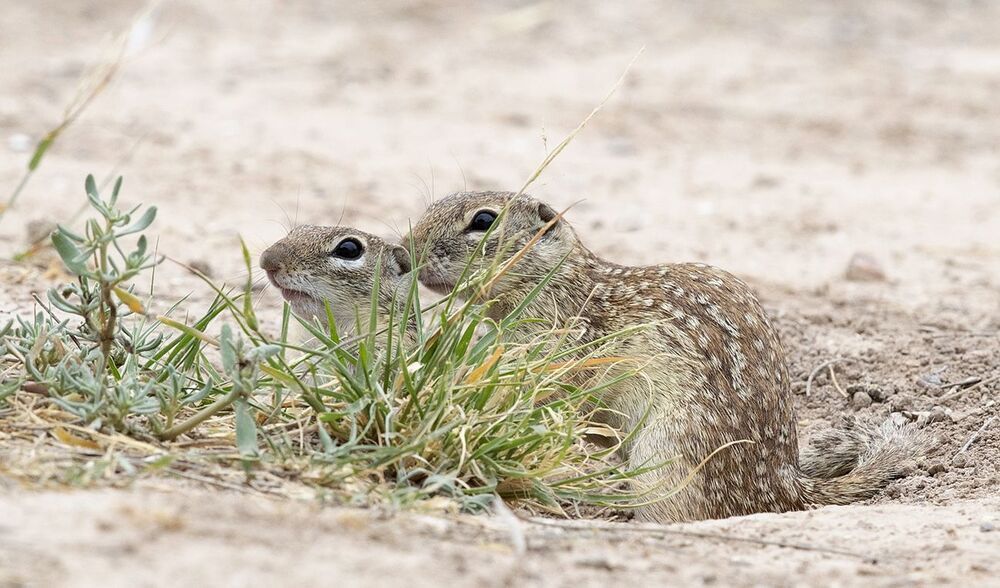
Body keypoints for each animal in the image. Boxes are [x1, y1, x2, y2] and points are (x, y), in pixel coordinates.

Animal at [405, 191, 923, 522]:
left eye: (483, 221)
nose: (407, 253)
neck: (560, 283)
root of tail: (785, 490)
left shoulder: (559, 347)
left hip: (667, 453)